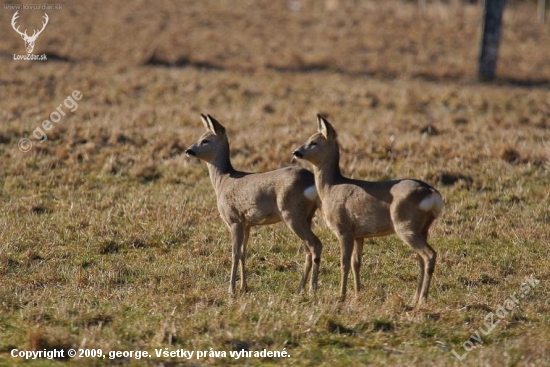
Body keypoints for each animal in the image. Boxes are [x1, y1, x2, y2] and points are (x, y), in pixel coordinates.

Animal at [187, 115, 324, 296]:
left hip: (292, 214)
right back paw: (300, 288)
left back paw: (312, 289)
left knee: (315, 244)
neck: (223, 180)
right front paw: (243, 287)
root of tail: (311, 182)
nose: (188, 150)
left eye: (205, 140)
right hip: (306, 216)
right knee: (308, 248)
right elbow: (243, 253)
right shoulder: (246, 224)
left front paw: (231, 290)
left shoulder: (234, 220)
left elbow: (235, 253)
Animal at [294, 115, 444, 308]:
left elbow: (344, 263)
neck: (330, 188)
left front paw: (341, 296)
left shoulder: (343, 229)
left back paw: (423, 299)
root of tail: (431, 193)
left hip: (406, 225)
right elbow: (356, 263)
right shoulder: (360, 234)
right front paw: (358, 293)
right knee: (421, 259)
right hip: (422, 228)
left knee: (429, 255)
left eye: (314, 142)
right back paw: (415, 298)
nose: (296, 152)